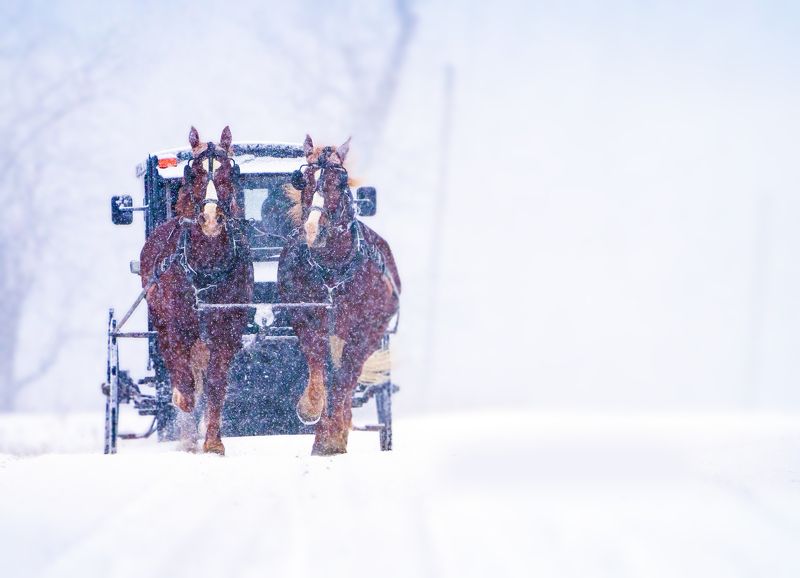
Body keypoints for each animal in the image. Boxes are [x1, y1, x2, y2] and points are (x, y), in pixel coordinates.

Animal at [139, 126, 254, 455]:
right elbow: (185, 380)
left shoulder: (226, 331)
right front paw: (185, 412)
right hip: (162, 323)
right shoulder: (178, 326)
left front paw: (213, 441)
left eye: (229, 171)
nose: (211, 219)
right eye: (195, 174)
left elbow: (215, 384)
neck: (205, 268)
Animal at [278, 135, 401, 455]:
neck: (332, 270)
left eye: (341, 180)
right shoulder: (306, 317)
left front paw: (332, 436)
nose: (312, 230)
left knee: (347, 378)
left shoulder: (366, 329)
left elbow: (344, 381)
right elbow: (317, 366)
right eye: (302, 179)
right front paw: (310, 409)